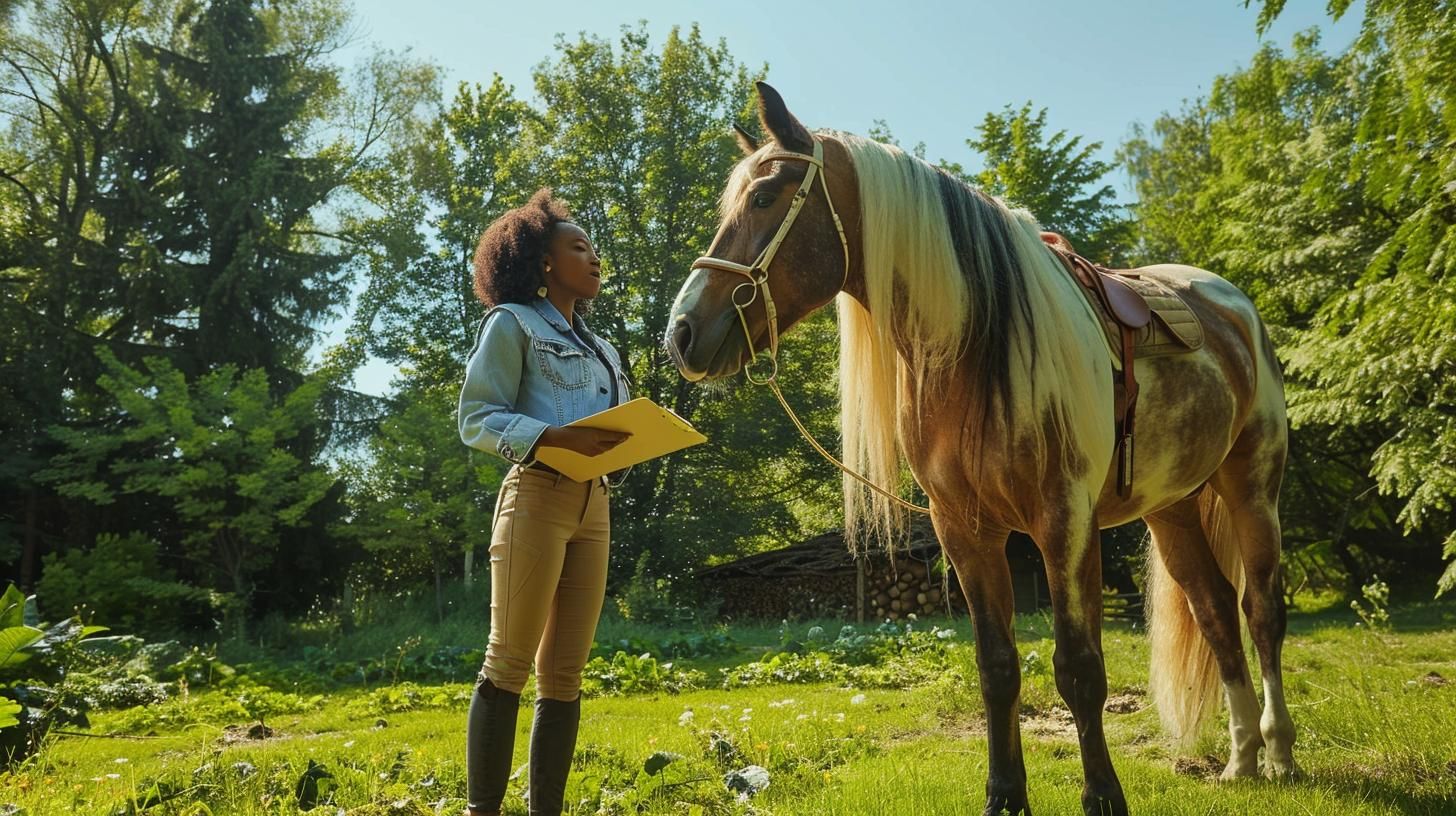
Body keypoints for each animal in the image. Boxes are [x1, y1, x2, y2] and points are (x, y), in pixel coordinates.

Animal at [666, 84, 1292, 816]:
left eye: (765, 198)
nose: (681, 334)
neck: (975, 345)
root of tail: (1231, 305)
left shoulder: (1065, 524)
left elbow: (1080, 670)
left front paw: (1103, 796)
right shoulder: (964, 530)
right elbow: (997, 668)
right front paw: (1004, 796)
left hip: (1253, 486)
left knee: (1261, 613)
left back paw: (1279, 755)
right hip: (1173, 508)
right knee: (1216, 612)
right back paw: (1241, 763)